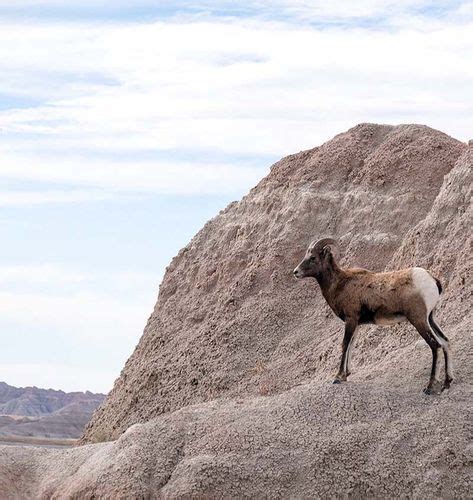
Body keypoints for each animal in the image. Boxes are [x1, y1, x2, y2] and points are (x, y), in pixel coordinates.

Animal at [294, 238, 452, 394]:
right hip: (430, 318)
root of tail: (432, 280)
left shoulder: (350, 320)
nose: (296, 272)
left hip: (418, 320)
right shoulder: (356, 324)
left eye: (313, 257)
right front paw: (346, 375)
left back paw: (430, 387)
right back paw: (447, 383)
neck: (339, 284)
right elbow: (351, 344)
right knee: (445, 341)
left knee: (435, 345)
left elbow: (345, 344)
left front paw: (338, 378)